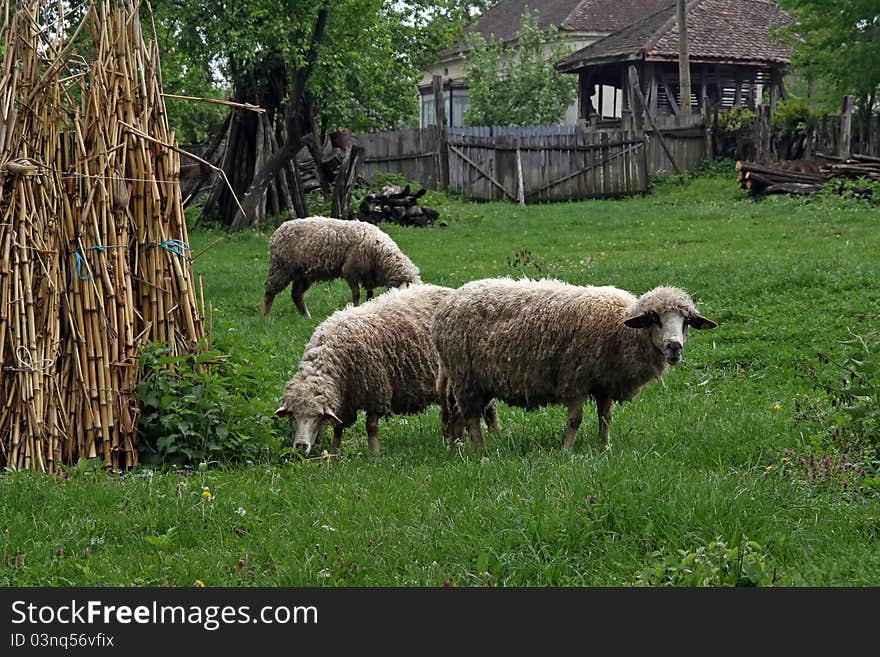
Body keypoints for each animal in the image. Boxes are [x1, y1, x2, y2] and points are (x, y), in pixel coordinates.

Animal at [262, 215, 422, 318]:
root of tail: (279, 229)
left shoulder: (368, 276)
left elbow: (370, 295)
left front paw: (368, 306)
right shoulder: (350, 271)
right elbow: (356, 294)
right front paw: (355, 308)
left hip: (304, 274)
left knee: (296, 294)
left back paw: (306, 317)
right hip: (281, 267)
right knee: (270, 290)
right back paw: (266, 317)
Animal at [272, 282, 498, 456]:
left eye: (317, 416)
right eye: (292, 415)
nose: (301, 446)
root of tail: (451, 291)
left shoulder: (376, 390)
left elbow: (371, 427)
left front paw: (375, 455)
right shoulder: (344, 399)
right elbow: (338, 429)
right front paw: (333, 456)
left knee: (487, 407)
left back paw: (495, 431)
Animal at [430, 276, 720, 452]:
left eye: (686, 321)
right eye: (654, 318)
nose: (674, 347)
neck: (620, 328)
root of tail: (448, 304)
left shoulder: (604, 382)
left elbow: (605, 417)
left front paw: (605, 446)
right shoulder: (575, 378)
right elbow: (575, 419)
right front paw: (567, 449)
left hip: (469, 379)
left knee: (456, 416)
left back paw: (458, 450)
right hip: (466, 377)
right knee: (471, 417)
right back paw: (481, 453)